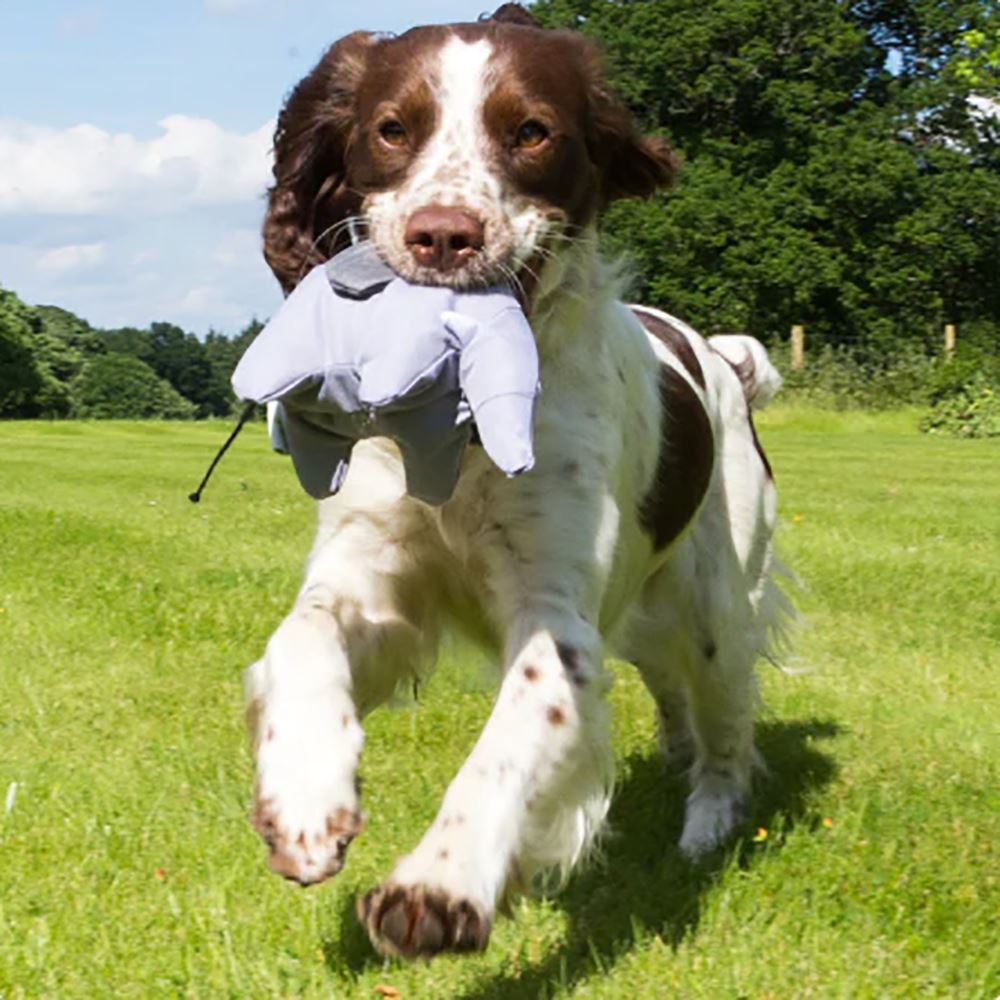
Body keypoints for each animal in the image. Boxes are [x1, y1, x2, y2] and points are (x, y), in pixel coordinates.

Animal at [242, 5, 788, 960]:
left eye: (531, 132)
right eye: (392, 130)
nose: (444, 233)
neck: (455, 427)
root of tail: (725, 359)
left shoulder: (555, 611)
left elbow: (516, 733)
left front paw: (438, 885)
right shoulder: (373, 576)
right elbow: (301, 638)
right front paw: (306, 800)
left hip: (718, 603)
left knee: (726, 732)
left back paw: (703, 830)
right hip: (644, 616)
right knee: (672, 692)